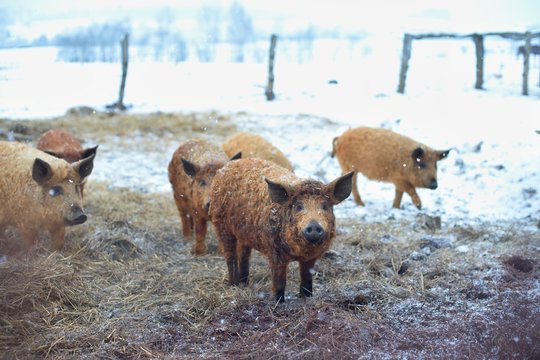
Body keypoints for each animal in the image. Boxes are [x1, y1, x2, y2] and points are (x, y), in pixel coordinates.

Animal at [209, 159, 352, 302]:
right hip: (221, 225)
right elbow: (279, 282)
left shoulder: (311, 258)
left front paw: (306, 298)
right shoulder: (274, 252)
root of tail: (229, 164)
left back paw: (244, 284)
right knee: (230, 256)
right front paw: (278, 302)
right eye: (298, 206)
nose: (314, 226)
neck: (300, 252)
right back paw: (233, 285)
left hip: (244, 234)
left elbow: (306, 278)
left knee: (244, 255)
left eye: (325, 206)